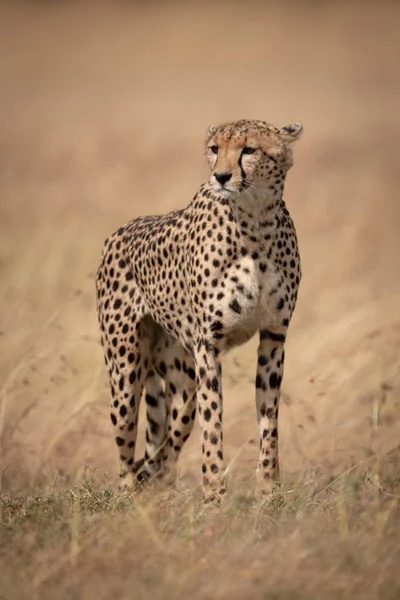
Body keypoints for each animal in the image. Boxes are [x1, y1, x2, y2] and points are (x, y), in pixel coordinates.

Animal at [97, 118, 302, 502]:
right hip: (125, 372)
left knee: (168, 443)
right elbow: (212, 422)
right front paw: (214, 496)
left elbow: (269, 421)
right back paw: (130, 493)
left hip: (180, 378)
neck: (255, 221)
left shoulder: (274, 336)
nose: (220, 176)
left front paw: (268, 488)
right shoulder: (208, 344)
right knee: (128, 450)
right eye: (214, 148)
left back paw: (160, 488)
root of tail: (118, 232)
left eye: (249, 150)